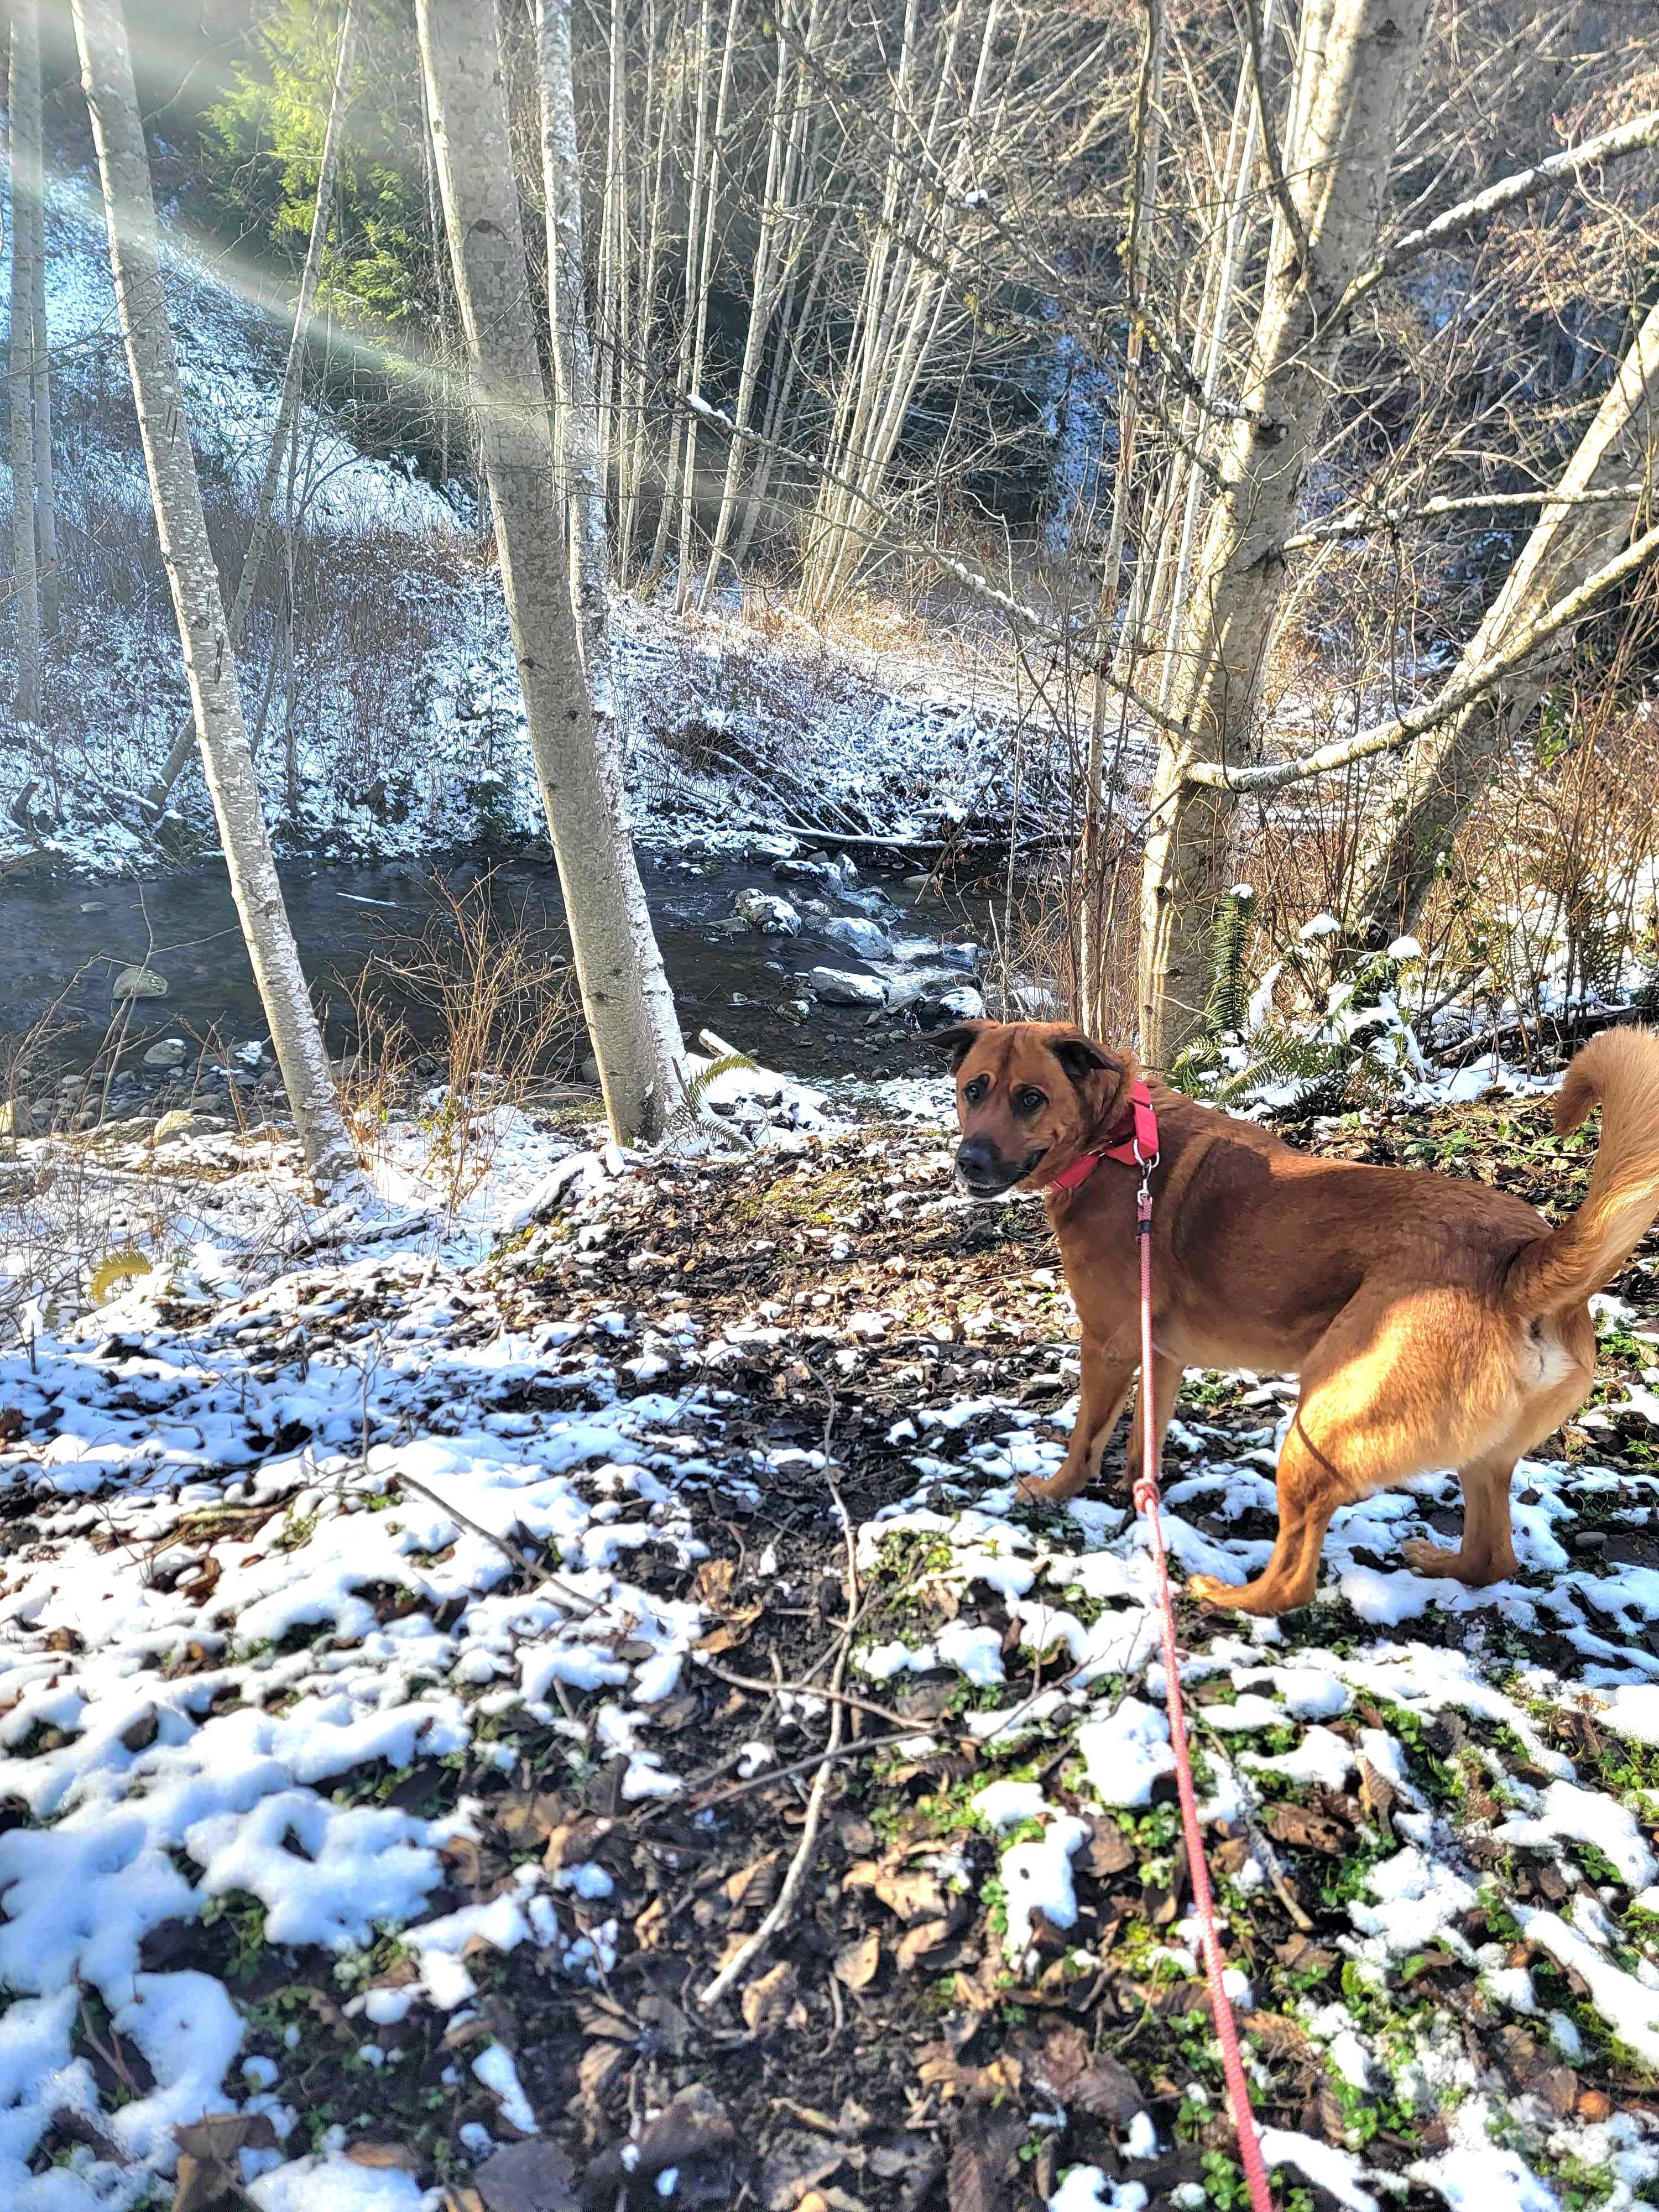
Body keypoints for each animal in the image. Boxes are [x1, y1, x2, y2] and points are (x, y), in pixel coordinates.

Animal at [942, 1013, 1659, 1610]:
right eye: (974, 1089)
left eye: (1030, 1098)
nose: (968, 1160)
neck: (1115, 1136)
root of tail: (1521, 1259)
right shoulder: (1161, 1356)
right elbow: (1146, 1435)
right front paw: (1135, 1495)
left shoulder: (1108, 1345)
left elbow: (1085, 1439)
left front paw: (1056, 1491)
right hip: (1480, 1456)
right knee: (1492, 1556)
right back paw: (1438, 1564)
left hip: (1321, 1427)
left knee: (1294, 1581)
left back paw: (1227, 1596)